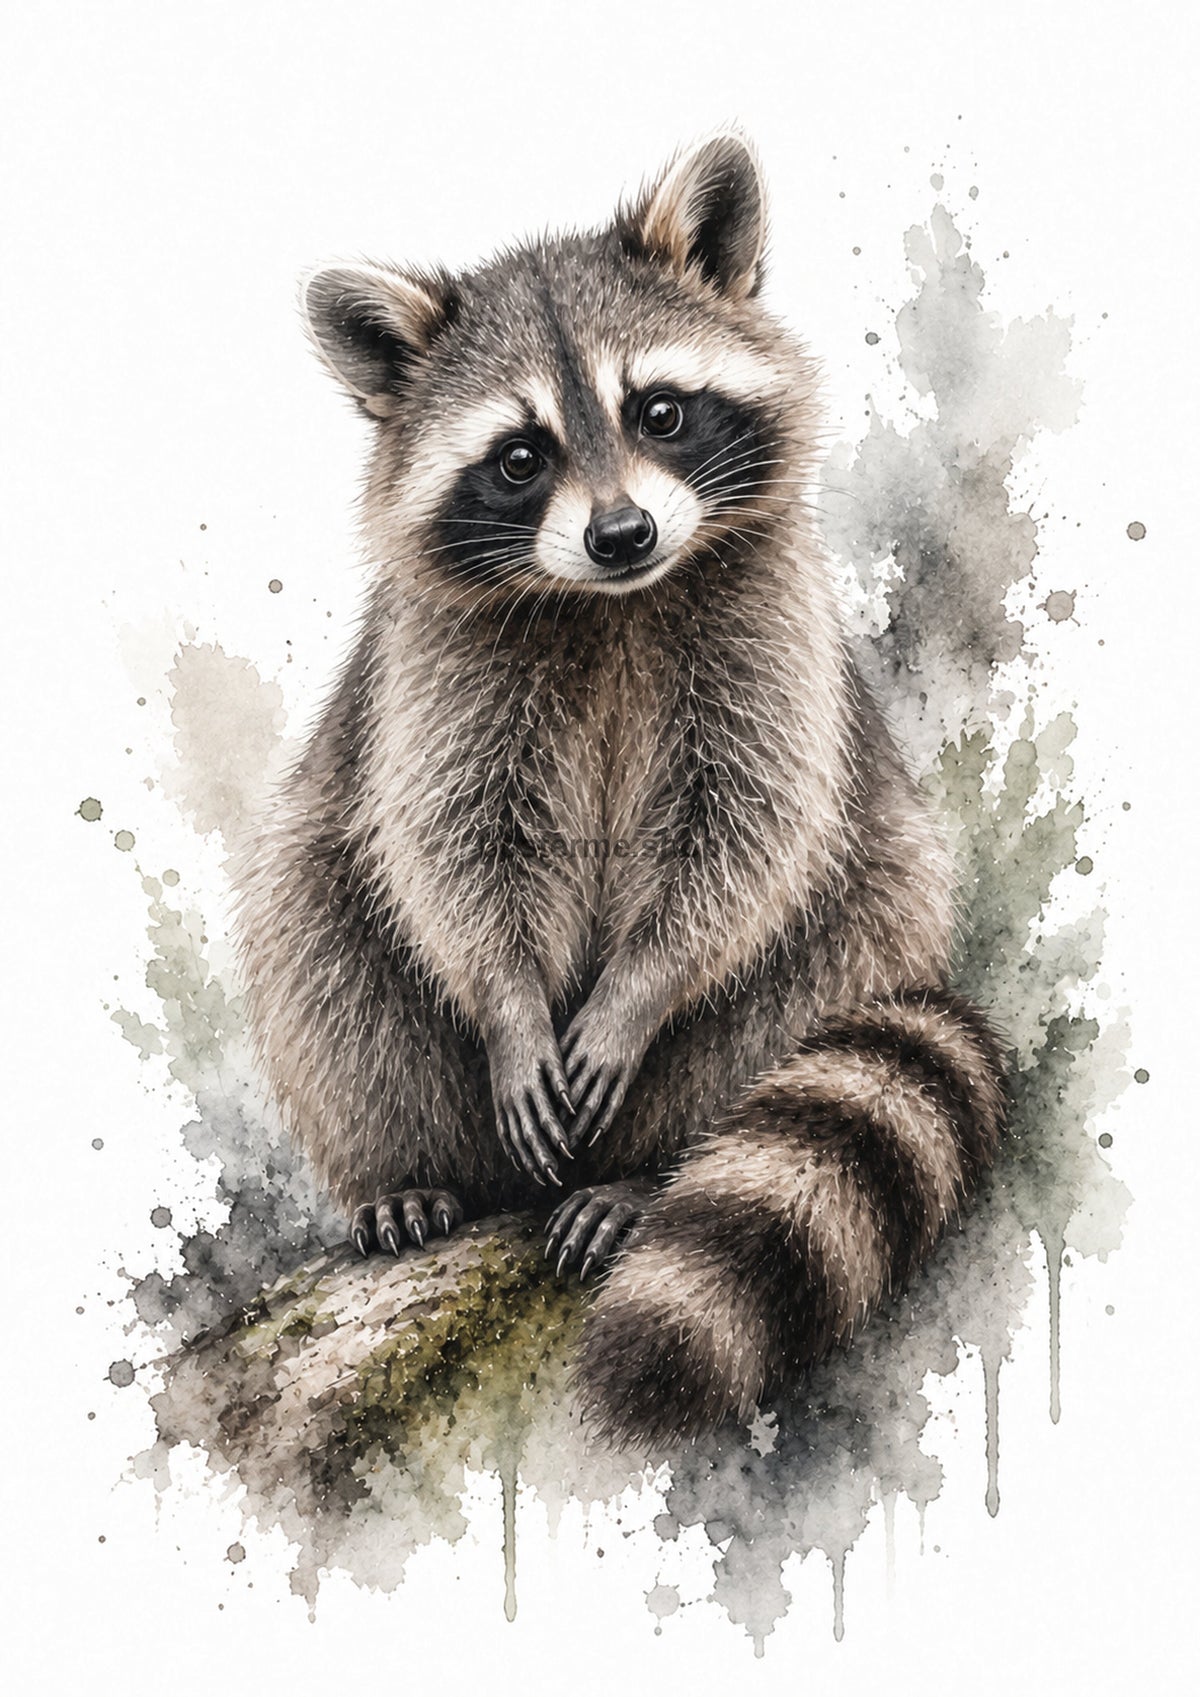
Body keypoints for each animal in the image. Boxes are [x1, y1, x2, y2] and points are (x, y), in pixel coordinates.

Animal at [236, 133, 1006, 1446]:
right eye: (519, 456)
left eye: (661, 410)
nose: (623, 533)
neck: (610, 605)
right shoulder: (438, 672)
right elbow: (457, 848)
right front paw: (509, 1010)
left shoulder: (769, 624)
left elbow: (743, 830)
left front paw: (635, 994)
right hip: (330, 913)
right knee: (320, 939)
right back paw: (407, 1172)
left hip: (868, 909)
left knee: (826, 933)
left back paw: (651, 1168)